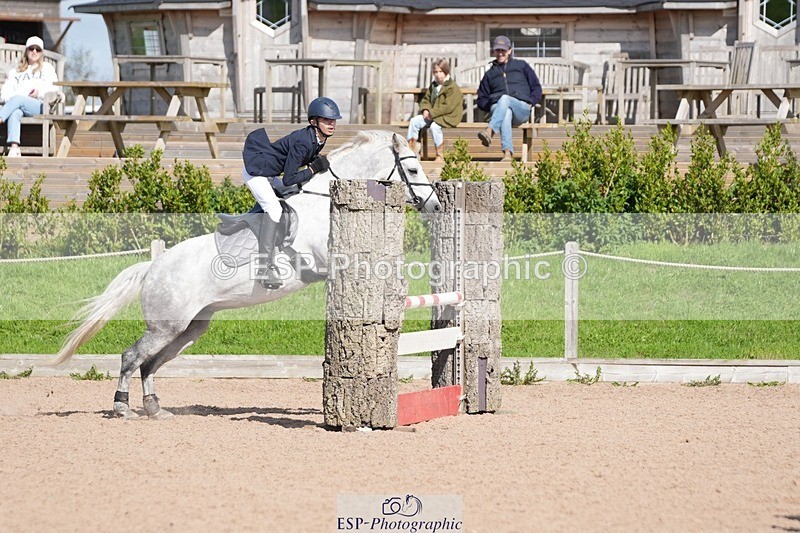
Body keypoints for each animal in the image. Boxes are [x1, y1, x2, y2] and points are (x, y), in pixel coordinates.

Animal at [48, 130, 442, 419]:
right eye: (414, 171)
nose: (436, 206)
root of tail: (153, 267)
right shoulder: (324, 257)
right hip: (166, 325)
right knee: (132, 357)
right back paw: (121, 408)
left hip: (189, 329)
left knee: (150, 364)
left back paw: (155, 409)